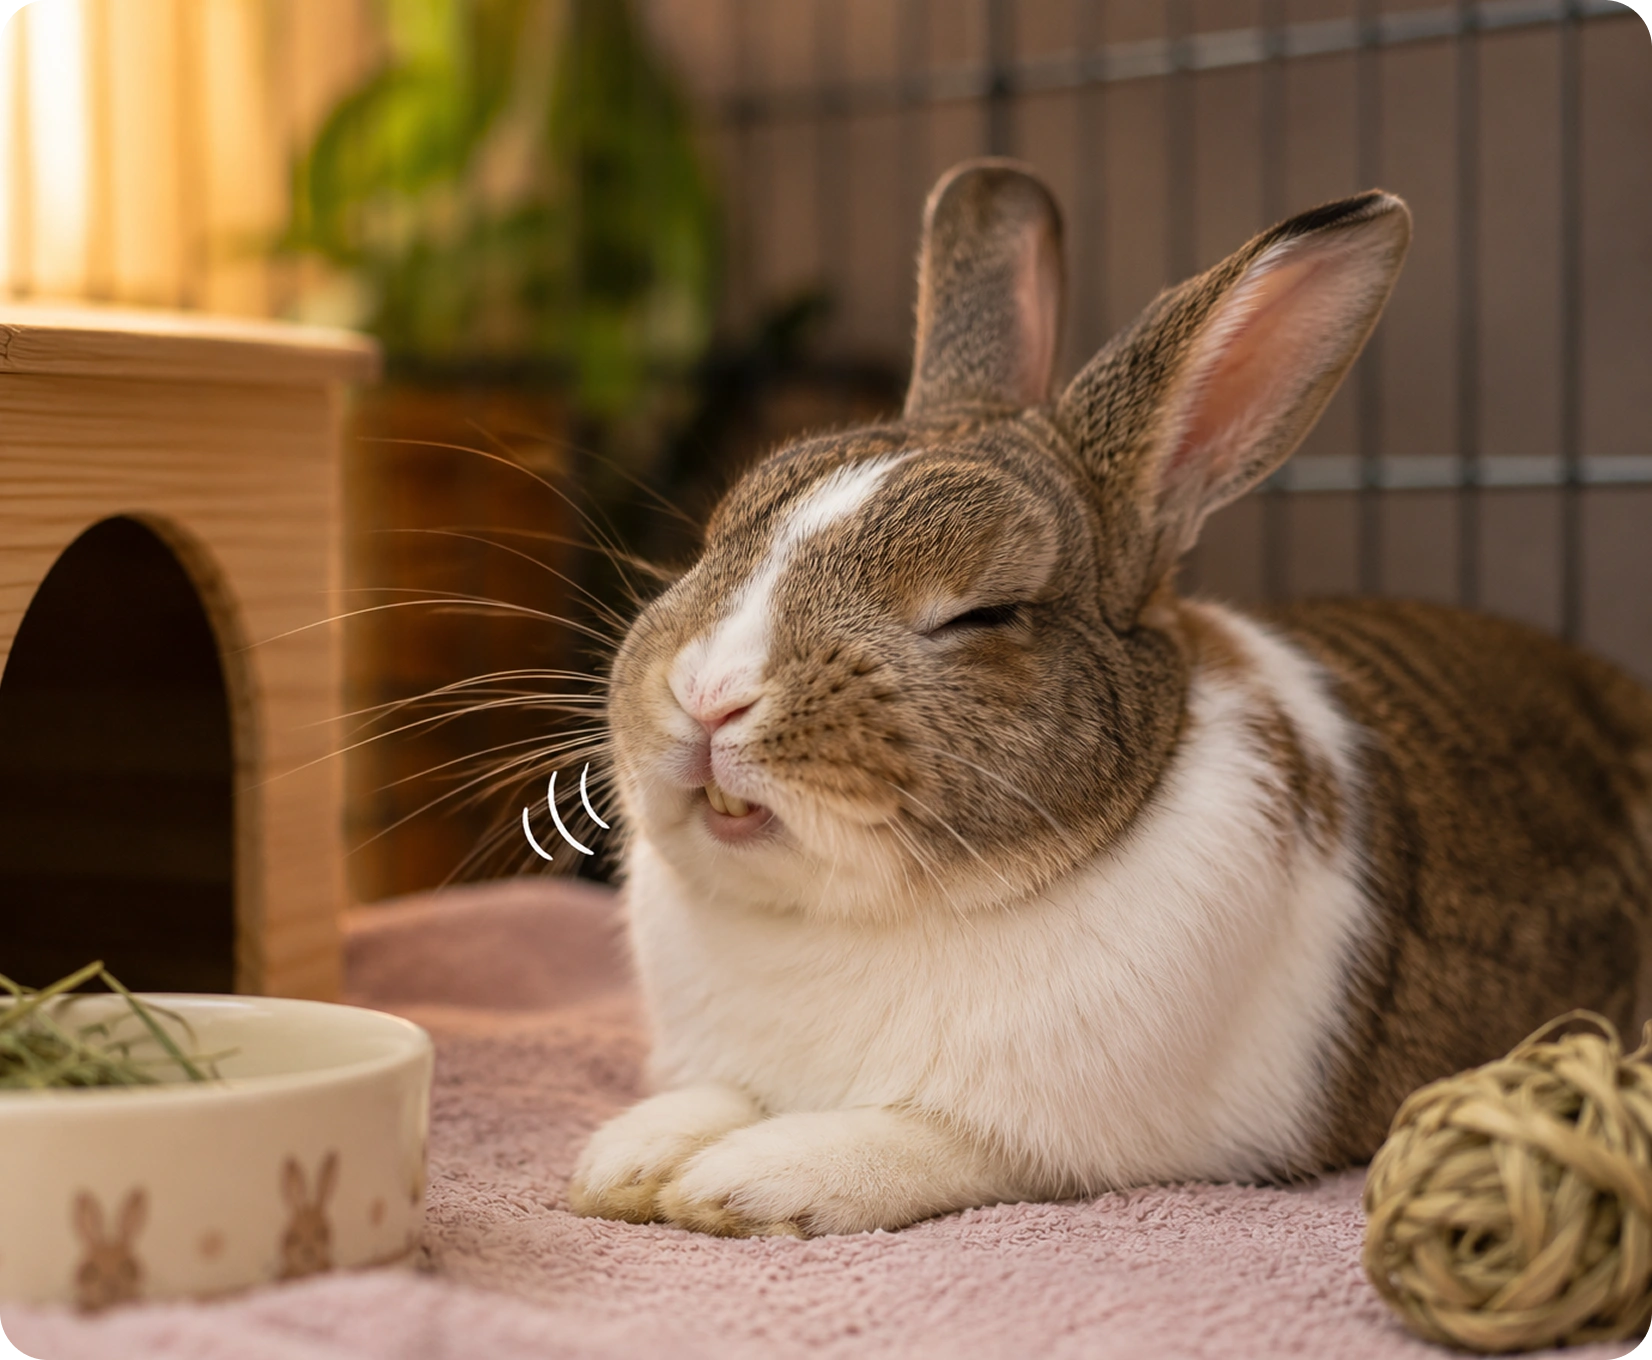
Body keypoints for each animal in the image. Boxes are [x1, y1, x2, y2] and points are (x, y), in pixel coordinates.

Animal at [569, 159, 1652, 1238]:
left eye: (984, 611)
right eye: (718, 532)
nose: (709, 695)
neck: (850, 917)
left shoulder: (1041, 1143)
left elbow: (911, 1141)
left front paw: (738, 1182)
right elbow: (712, 1095)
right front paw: (625, 1160)